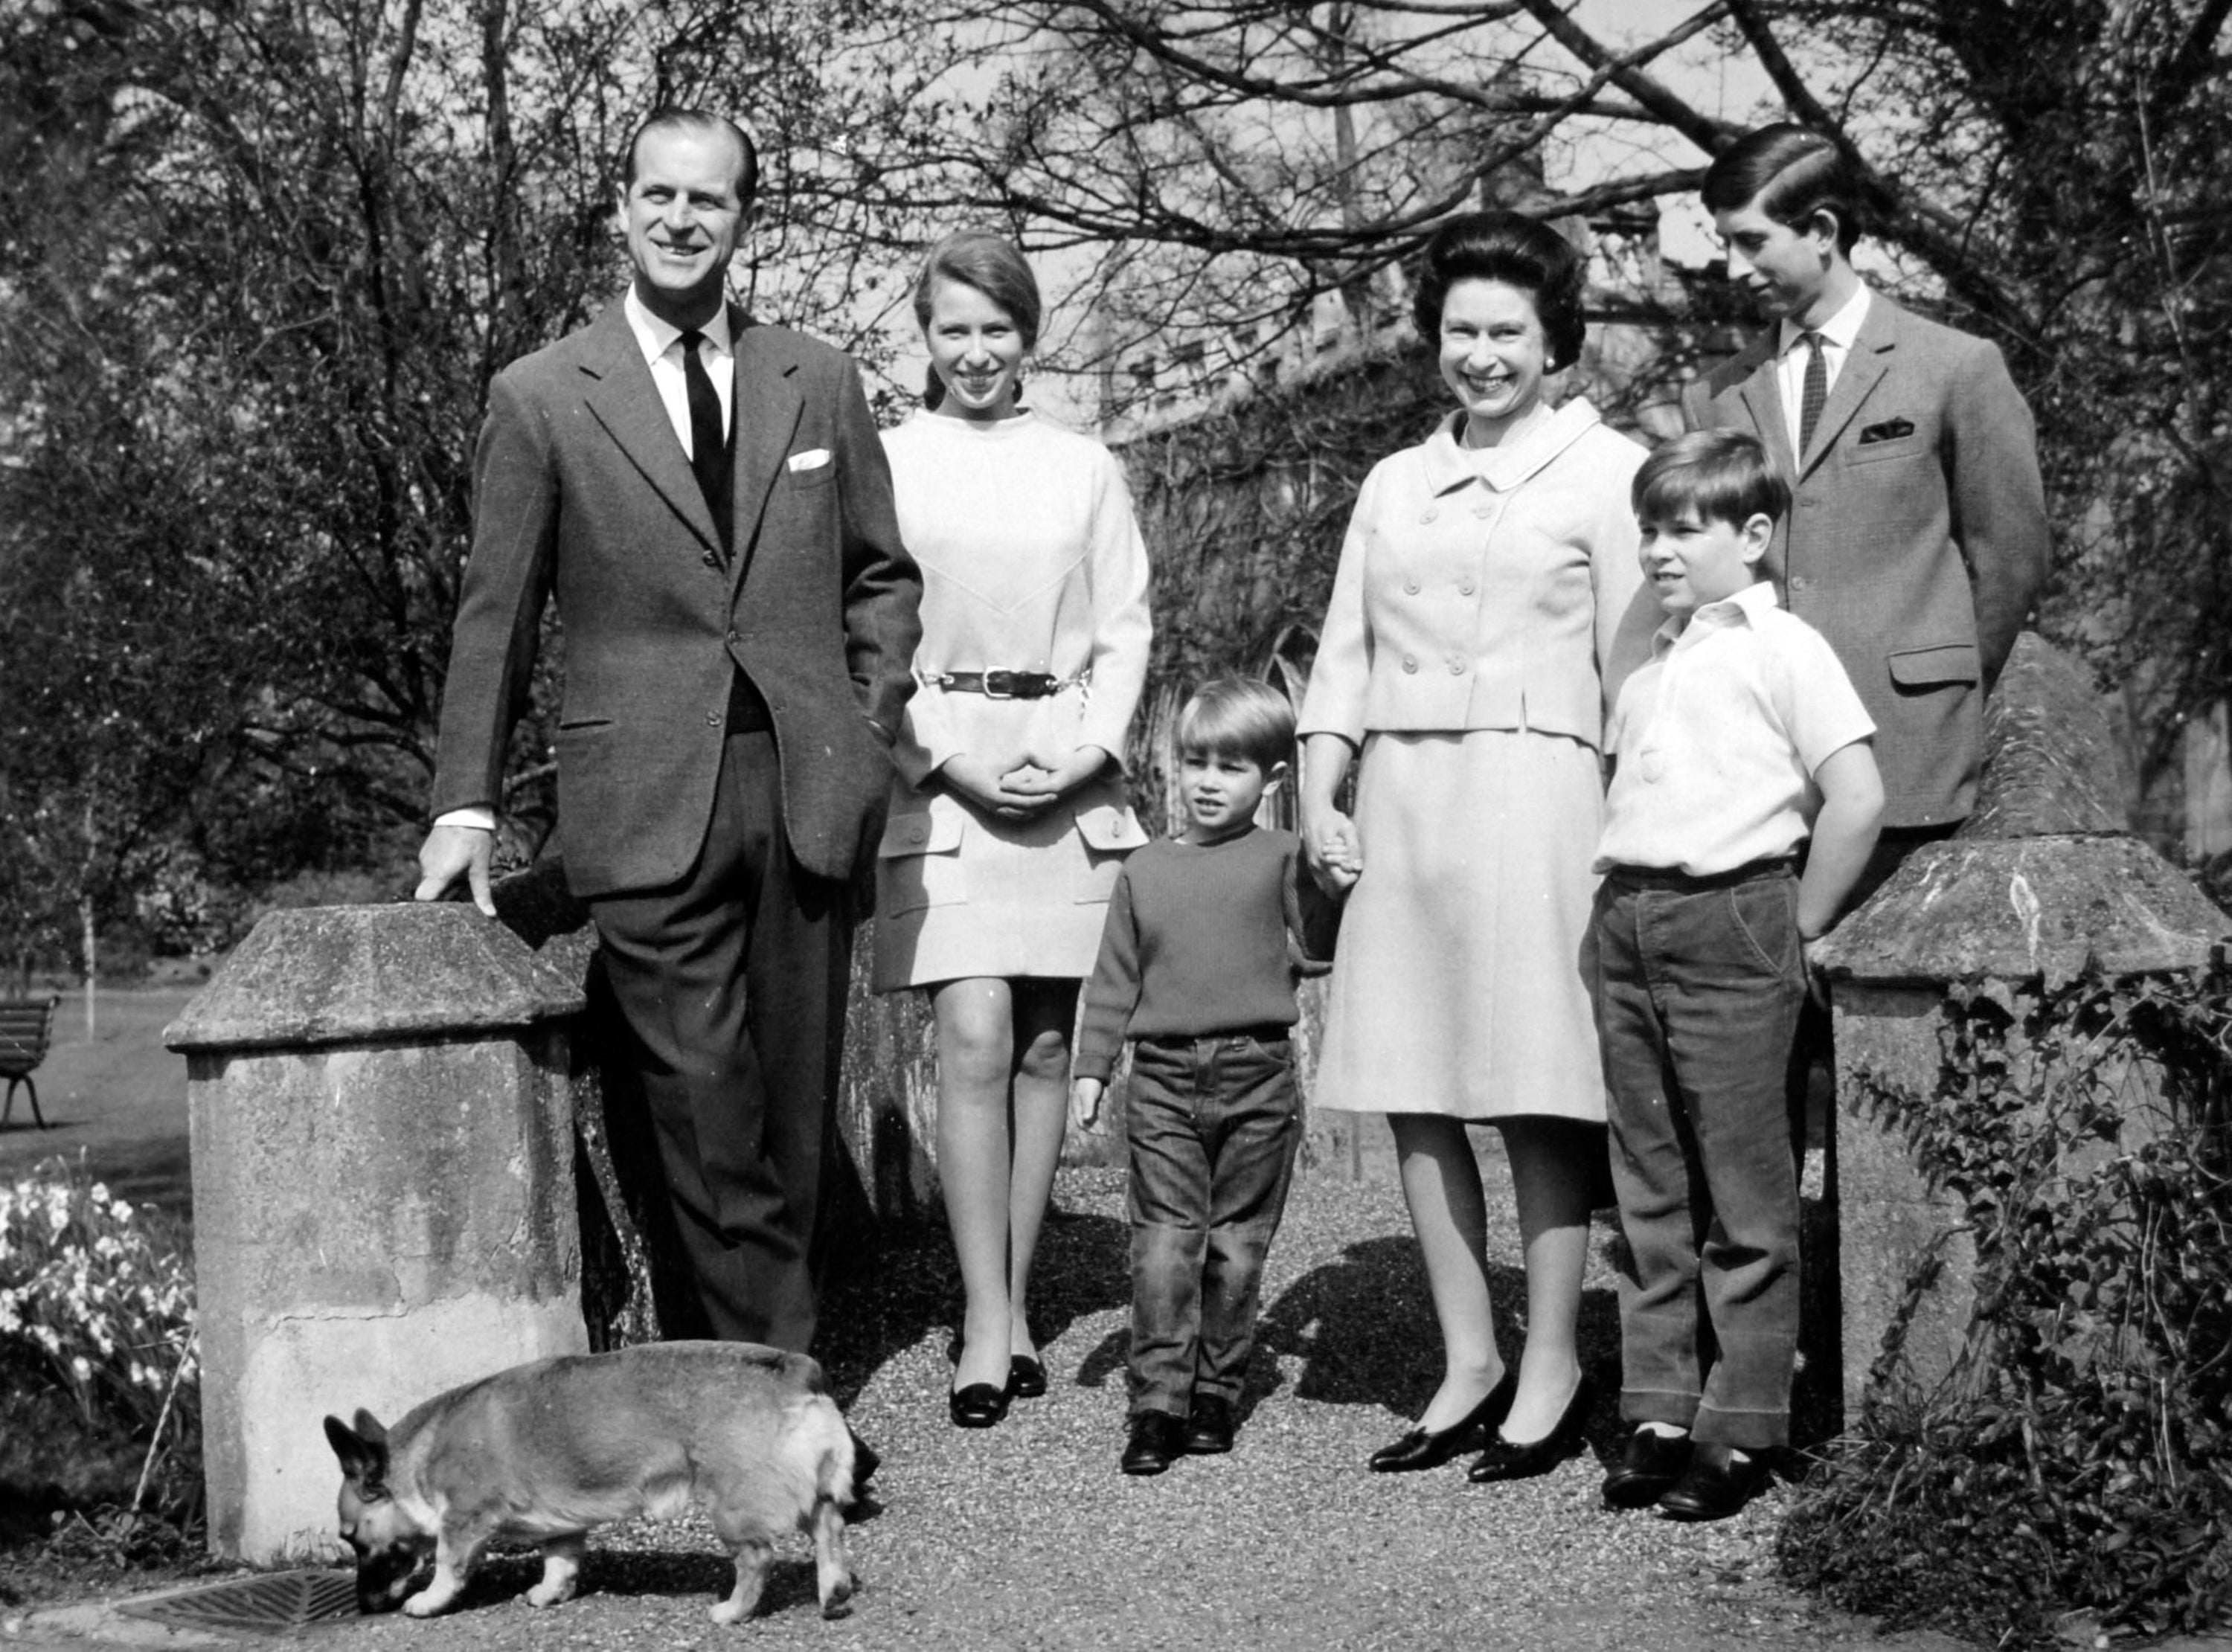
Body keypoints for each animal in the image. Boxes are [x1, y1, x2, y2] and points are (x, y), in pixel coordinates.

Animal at [326, 1339, 857, 1624]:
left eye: (352, 1539)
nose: (363, 1605)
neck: (416, 1456)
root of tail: (795, 1371)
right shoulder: (560, 1528)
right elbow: (559, 1563)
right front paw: (548, 1593)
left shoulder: (462, 1522)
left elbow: (447, 1565)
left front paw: (430, 1599)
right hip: (812, 1495)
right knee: (828, 1529)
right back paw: (833, 1591)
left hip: (731, 1508)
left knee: (757, 1558)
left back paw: (733, 1611)